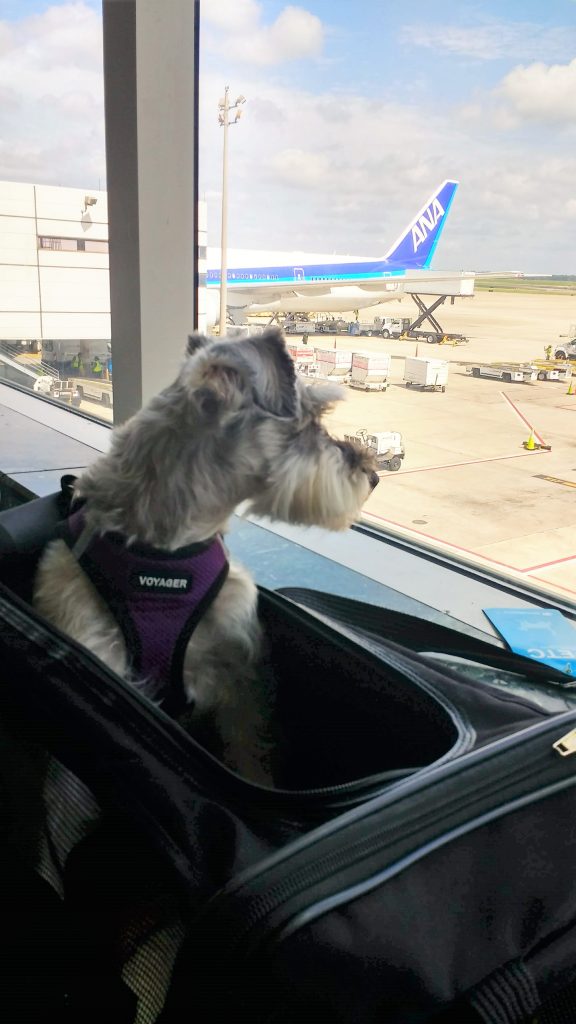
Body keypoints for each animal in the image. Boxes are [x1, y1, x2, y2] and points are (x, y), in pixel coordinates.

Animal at [32, 327, 377, 782]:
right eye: (310, 420)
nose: (372, 475)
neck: (165, 555)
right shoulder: (95, 648)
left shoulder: (239, 671)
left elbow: (249, 749)